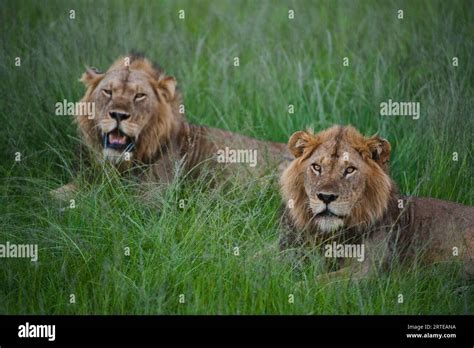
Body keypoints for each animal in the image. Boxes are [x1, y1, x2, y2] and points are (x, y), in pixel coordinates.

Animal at [280, 125, 474, 280]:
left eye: (350, 170)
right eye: (317, 167)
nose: (326, 197)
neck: (330, 235)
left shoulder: (366, 271)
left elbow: (315, 283)